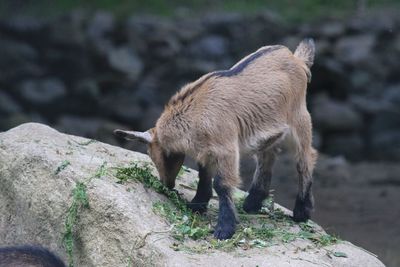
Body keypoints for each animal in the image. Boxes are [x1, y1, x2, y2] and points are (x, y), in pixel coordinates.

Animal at [114, 39, 318, 241]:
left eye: (163, 156)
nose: (167, 184)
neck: (196, 111)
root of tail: (296, 59)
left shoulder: (226, 148)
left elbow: (221, 184)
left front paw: (224, 229)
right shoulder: (206, 151)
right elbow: (204, 175)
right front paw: (196, 205)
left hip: (299, 120)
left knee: (305, 159)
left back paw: (301, 212)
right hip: (269, 132)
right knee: (267, 157)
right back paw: (252, 204)